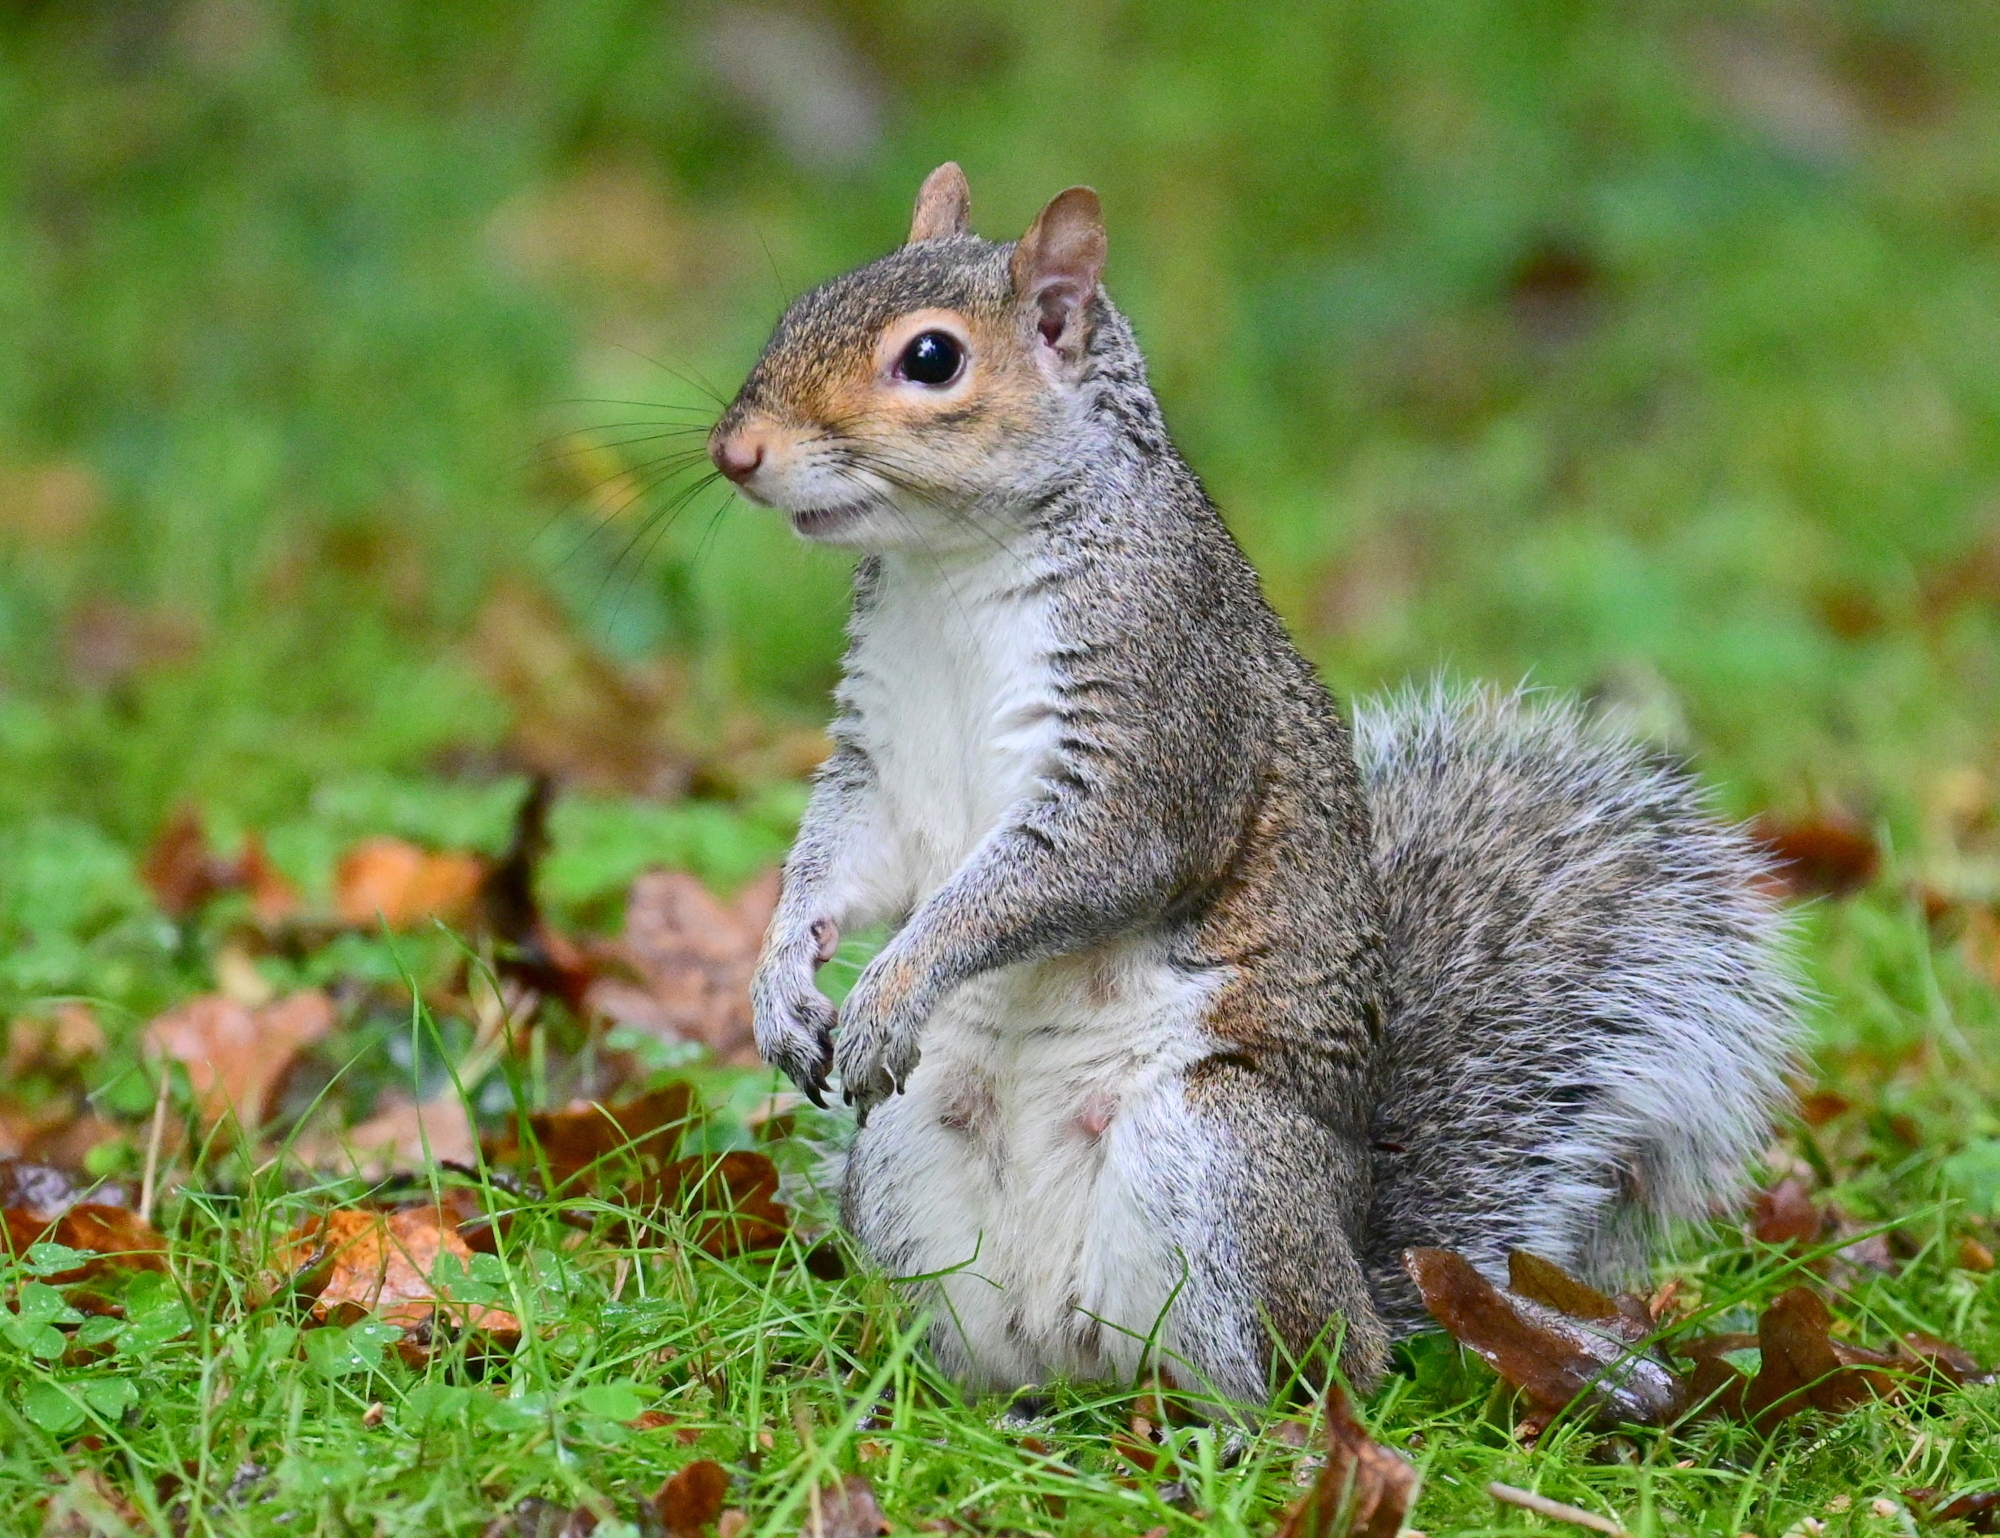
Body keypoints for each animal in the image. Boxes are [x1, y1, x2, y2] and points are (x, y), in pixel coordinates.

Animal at [706, 164, 1802, 1403]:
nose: (735, 451)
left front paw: (894, 985)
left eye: (930, 358)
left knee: (1304, 1371)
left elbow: (1072, 867)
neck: (951, 565)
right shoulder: (879, 757)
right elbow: (842, 856)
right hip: (904, 1166)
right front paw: (779, 979)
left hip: (1220, 1160)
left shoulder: (1159, 710)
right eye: (800, 305)